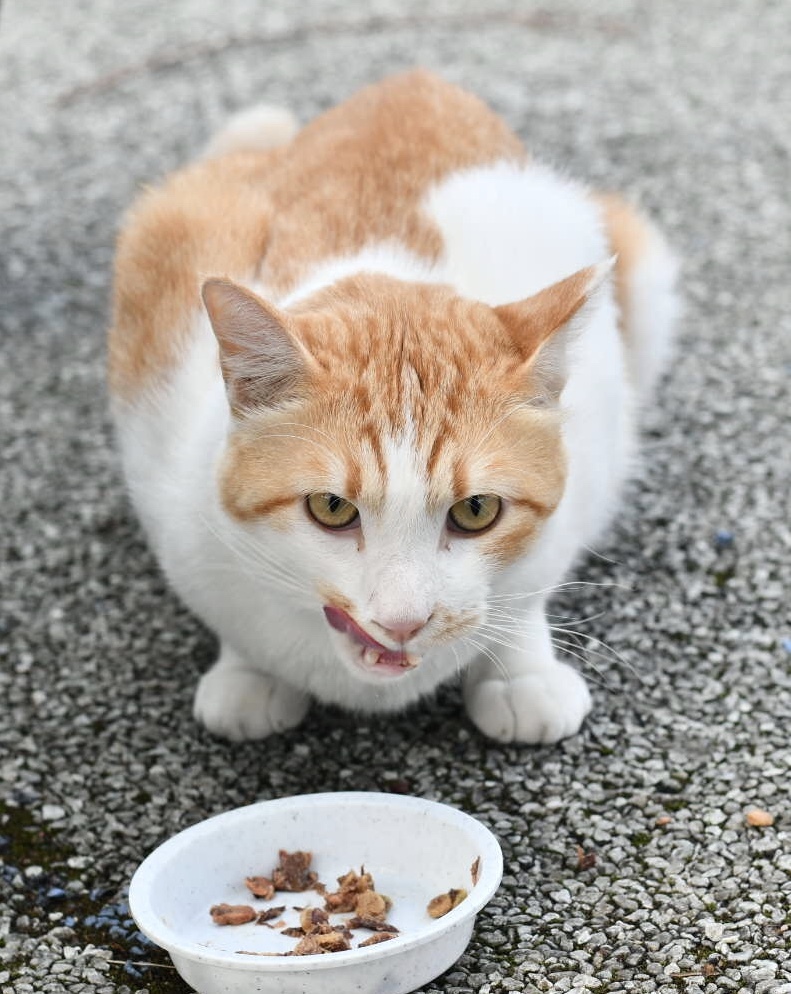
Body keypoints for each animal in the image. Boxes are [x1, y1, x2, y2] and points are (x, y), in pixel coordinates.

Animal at [108, 70, 676, 744]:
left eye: (477, 511)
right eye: (331, 508)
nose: (403, 621)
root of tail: (413, 79)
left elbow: (529, 594)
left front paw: (519, 672)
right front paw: (250, 674)